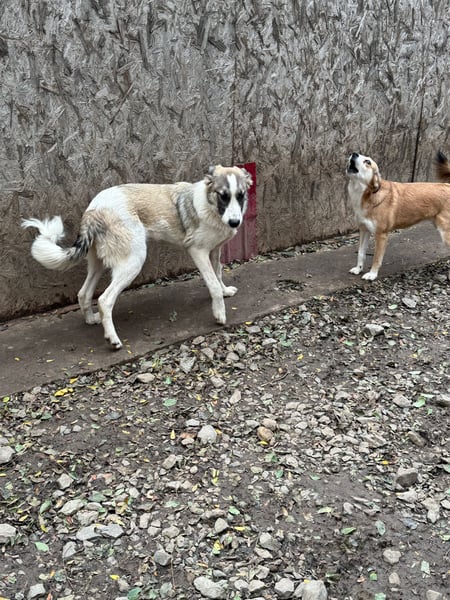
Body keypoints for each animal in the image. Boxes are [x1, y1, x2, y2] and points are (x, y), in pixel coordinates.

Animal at [22, 165, 252, 350]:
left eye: (240, 195)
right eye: (223, 195)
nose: (234, 222)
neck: (210, 205)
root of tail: (93, 210)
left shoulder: (214, 251)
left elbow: (218, 273)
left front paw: (225, 292)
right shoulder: (197, 251)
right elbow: (212, 283)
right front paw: (219, 314)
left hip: (98, 264)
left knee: (83, 293)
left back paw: (91, 320)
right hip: (133, 261)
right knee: (104, 300)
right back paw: (113, 339)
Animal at [346, 151, 450, 280]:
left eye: (368, 162)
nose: (354, 154)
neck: (368, 194)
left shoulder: (381, 235)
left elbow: (376, 258)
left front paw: (372, 274)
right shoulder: (364, 230)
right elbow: (361, 253)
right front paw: (358, 269)